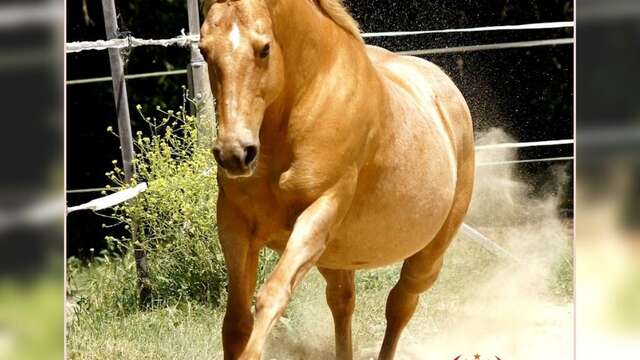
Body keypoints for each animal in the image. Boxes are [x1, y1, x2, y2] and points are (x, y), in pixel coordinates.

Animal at [200, 0, 476, 358]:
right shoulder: (235, 223)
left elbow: (272, 295)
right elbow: (235, 323)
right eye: (204, 51)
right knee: (343, 301)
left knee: (400, 304)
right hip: (336, 257)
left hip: (426, 260)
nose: (235, 152)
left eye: (264, 48)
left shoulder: (320, 211)